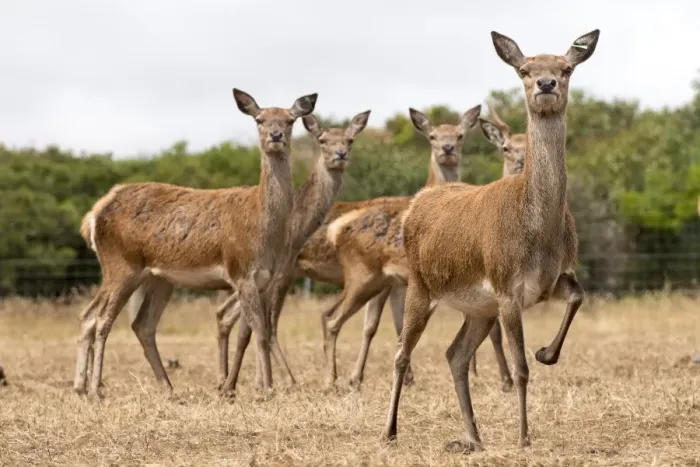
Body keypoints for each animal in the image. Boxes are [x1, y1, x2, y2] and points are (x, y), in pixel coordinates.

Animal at [73, 89, 317, 397]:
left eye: (289, 120)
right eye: (259, 119)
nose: (275, 135)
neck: (262, 227)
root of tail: (93, 216)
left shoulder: (264, 280)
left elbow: (250, 334)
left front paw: (247, 387)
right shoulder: (240, 271)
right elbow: (261, 334)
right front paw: (267, 390)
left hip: (157, 278)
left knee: (134, 323)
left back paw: (158, 387)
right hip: (121, 265)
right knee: (102, 319)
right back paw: (96, 390)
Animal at [382, 29, 599, 452]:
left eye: (566, 68)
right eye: (524, 70)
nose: (545, 84)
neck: (540, 233)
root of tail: (416, 203)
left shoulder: (552, 279)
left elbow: (579, 297)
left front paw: (546, 351)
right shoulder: (506, 286)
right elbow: (521, 368)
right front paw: (524, 437)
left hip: (477, 308)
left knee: (455, 354)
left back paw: (473, 436)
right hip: (420, 284)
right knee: (401, 352)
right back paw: (389, 432)